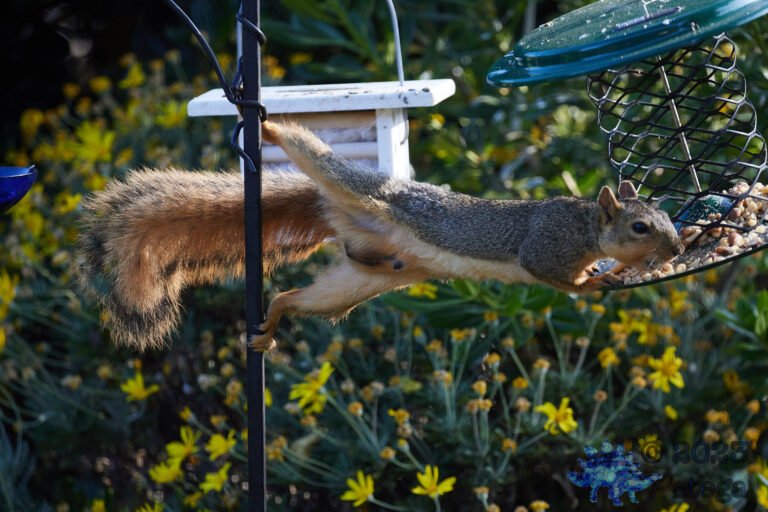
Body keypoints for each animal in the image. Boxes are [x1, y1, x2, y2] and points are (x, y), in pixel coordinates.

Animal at [77, 120, 684, 351]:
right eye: (639, 226)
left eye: (666, 219)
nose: (677, 248)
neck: (585, 225)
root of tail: (337, 215)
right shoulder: (546, 246)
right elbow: (552, 275)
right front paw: (592, 283)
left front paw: (621, 271)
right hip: (354, 188)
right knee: (312, 153)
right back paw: (269, 126)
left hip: (359, 281)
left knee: (297, 296)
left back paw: (272, 321)